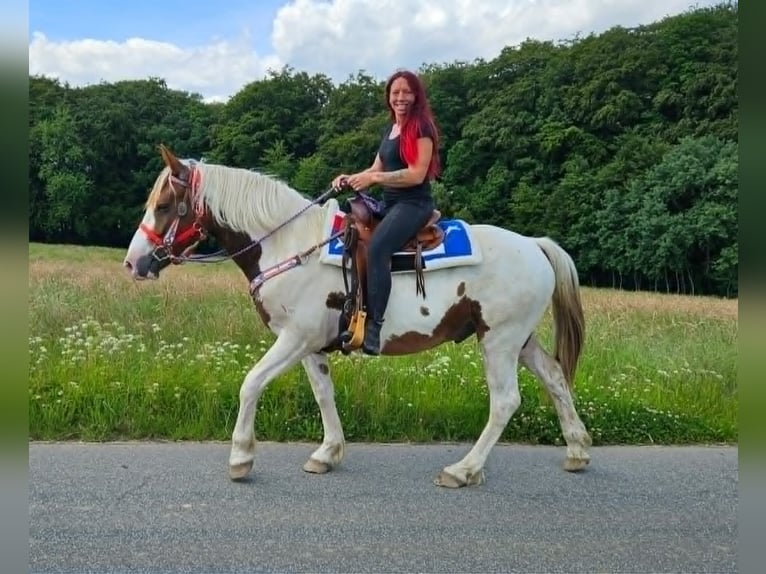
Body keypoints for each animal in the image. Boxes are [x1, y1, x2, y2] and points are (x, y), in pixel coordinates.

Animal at [123, 144, 592, 487]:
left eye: (164, 205)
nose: (133, 263)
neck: (289, 245)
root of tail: (535, 245)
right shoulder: (310, 344)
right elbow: (323, 394)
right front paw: (327, 453)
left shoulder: (294, 338)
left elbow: (251, 383)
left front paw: (241, 456)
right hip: (518, 340)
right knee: (554, 378)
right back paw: (577, 451)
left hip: (499, 340)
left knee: (505, 401)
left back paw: (463, 470)